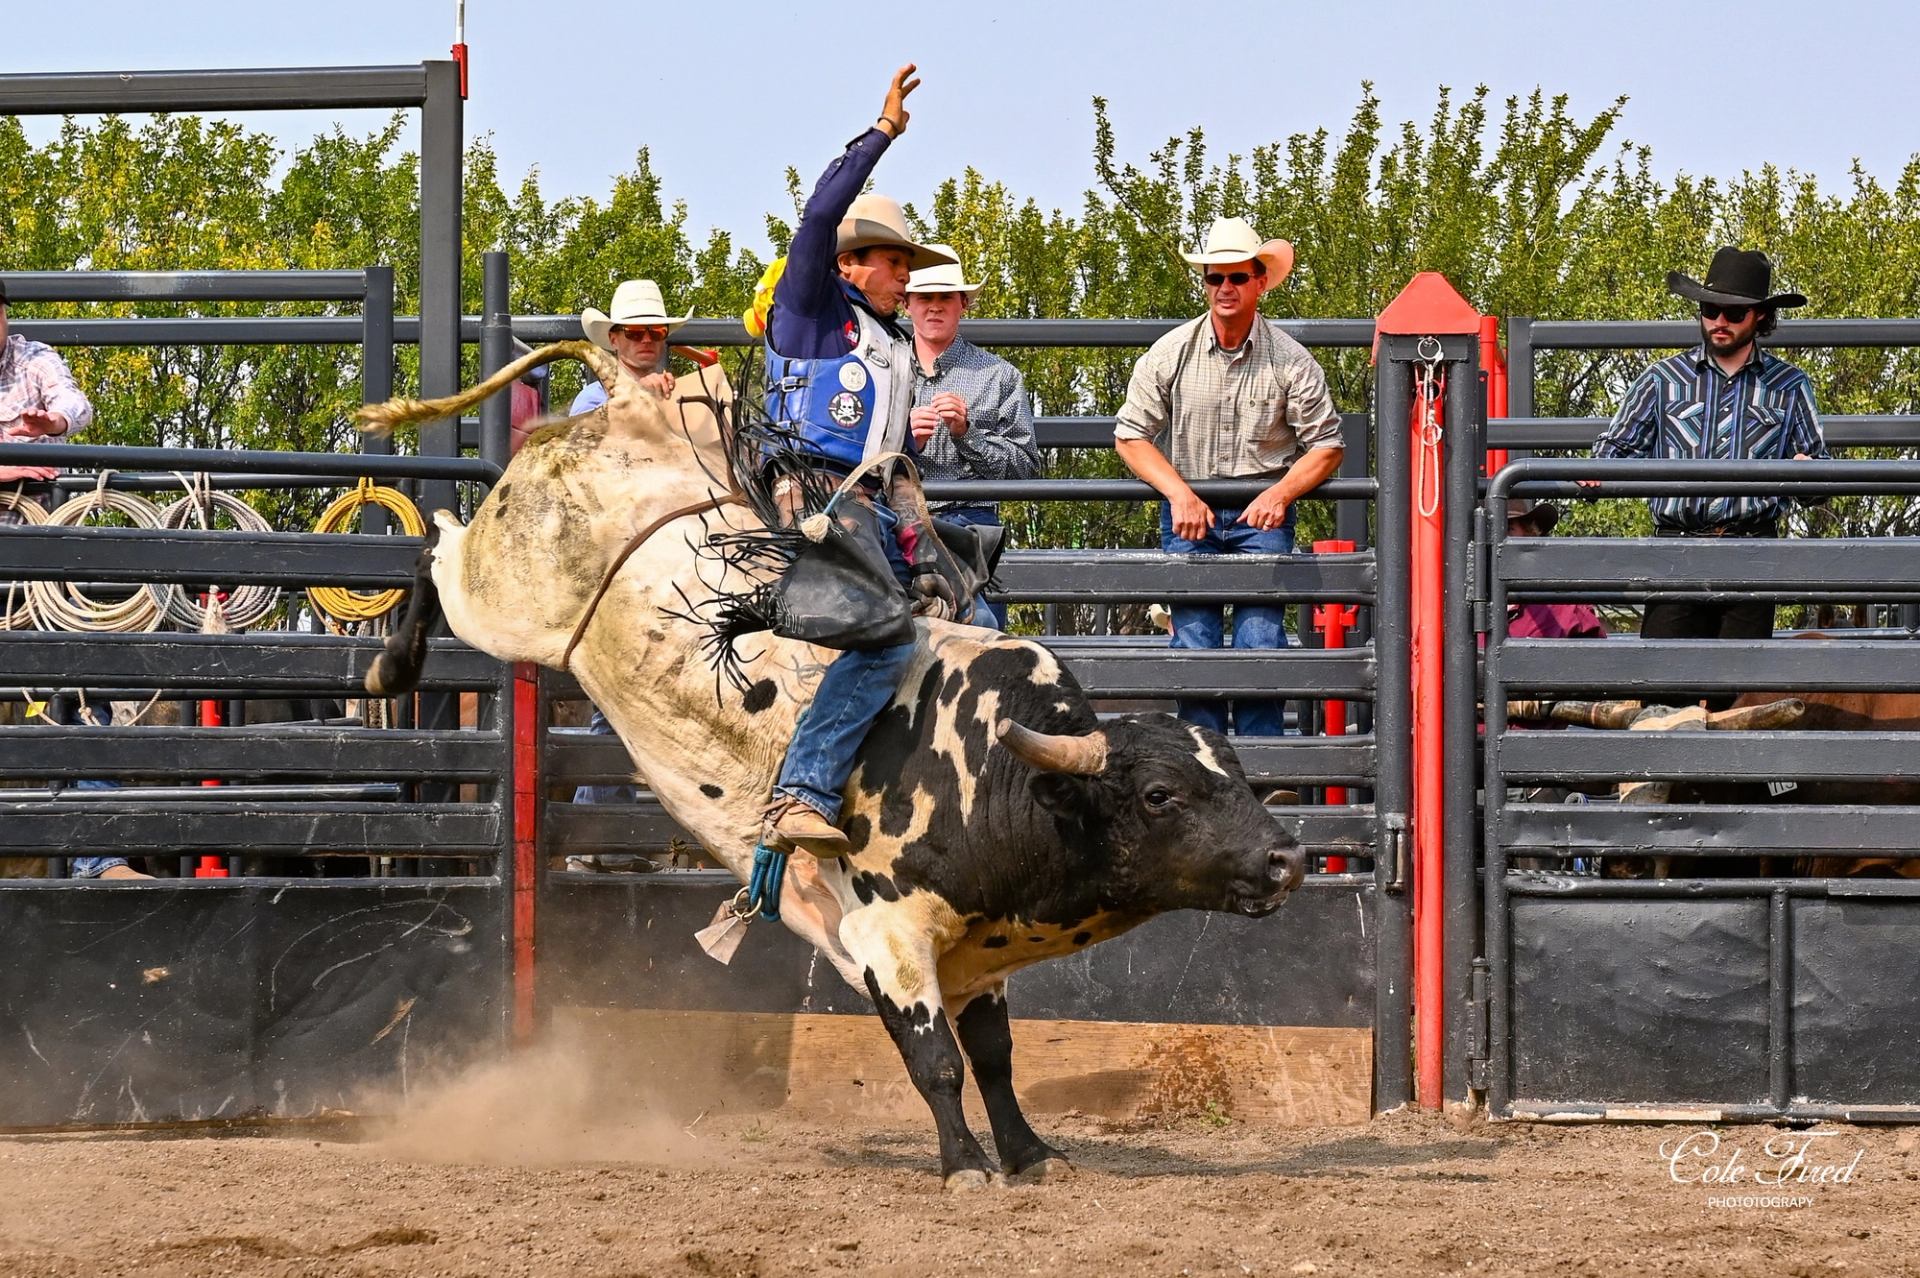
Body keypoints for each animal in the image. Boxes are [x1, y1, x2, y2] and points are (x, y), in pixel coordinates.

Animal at [357, 343, 1306, 1189]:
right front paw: (965, 1167)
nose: (1287, 858)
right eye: (1159, 795)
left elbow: (996, 1059)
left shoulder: (981, 958)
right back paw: (389, 667)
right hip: (504, 600)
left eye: (1237, 778)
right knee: (437, 547)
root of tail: (628, 398)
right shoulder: (885, 940)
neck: (992, 776)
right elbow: (936, 1061)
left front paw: (1032, 1154)